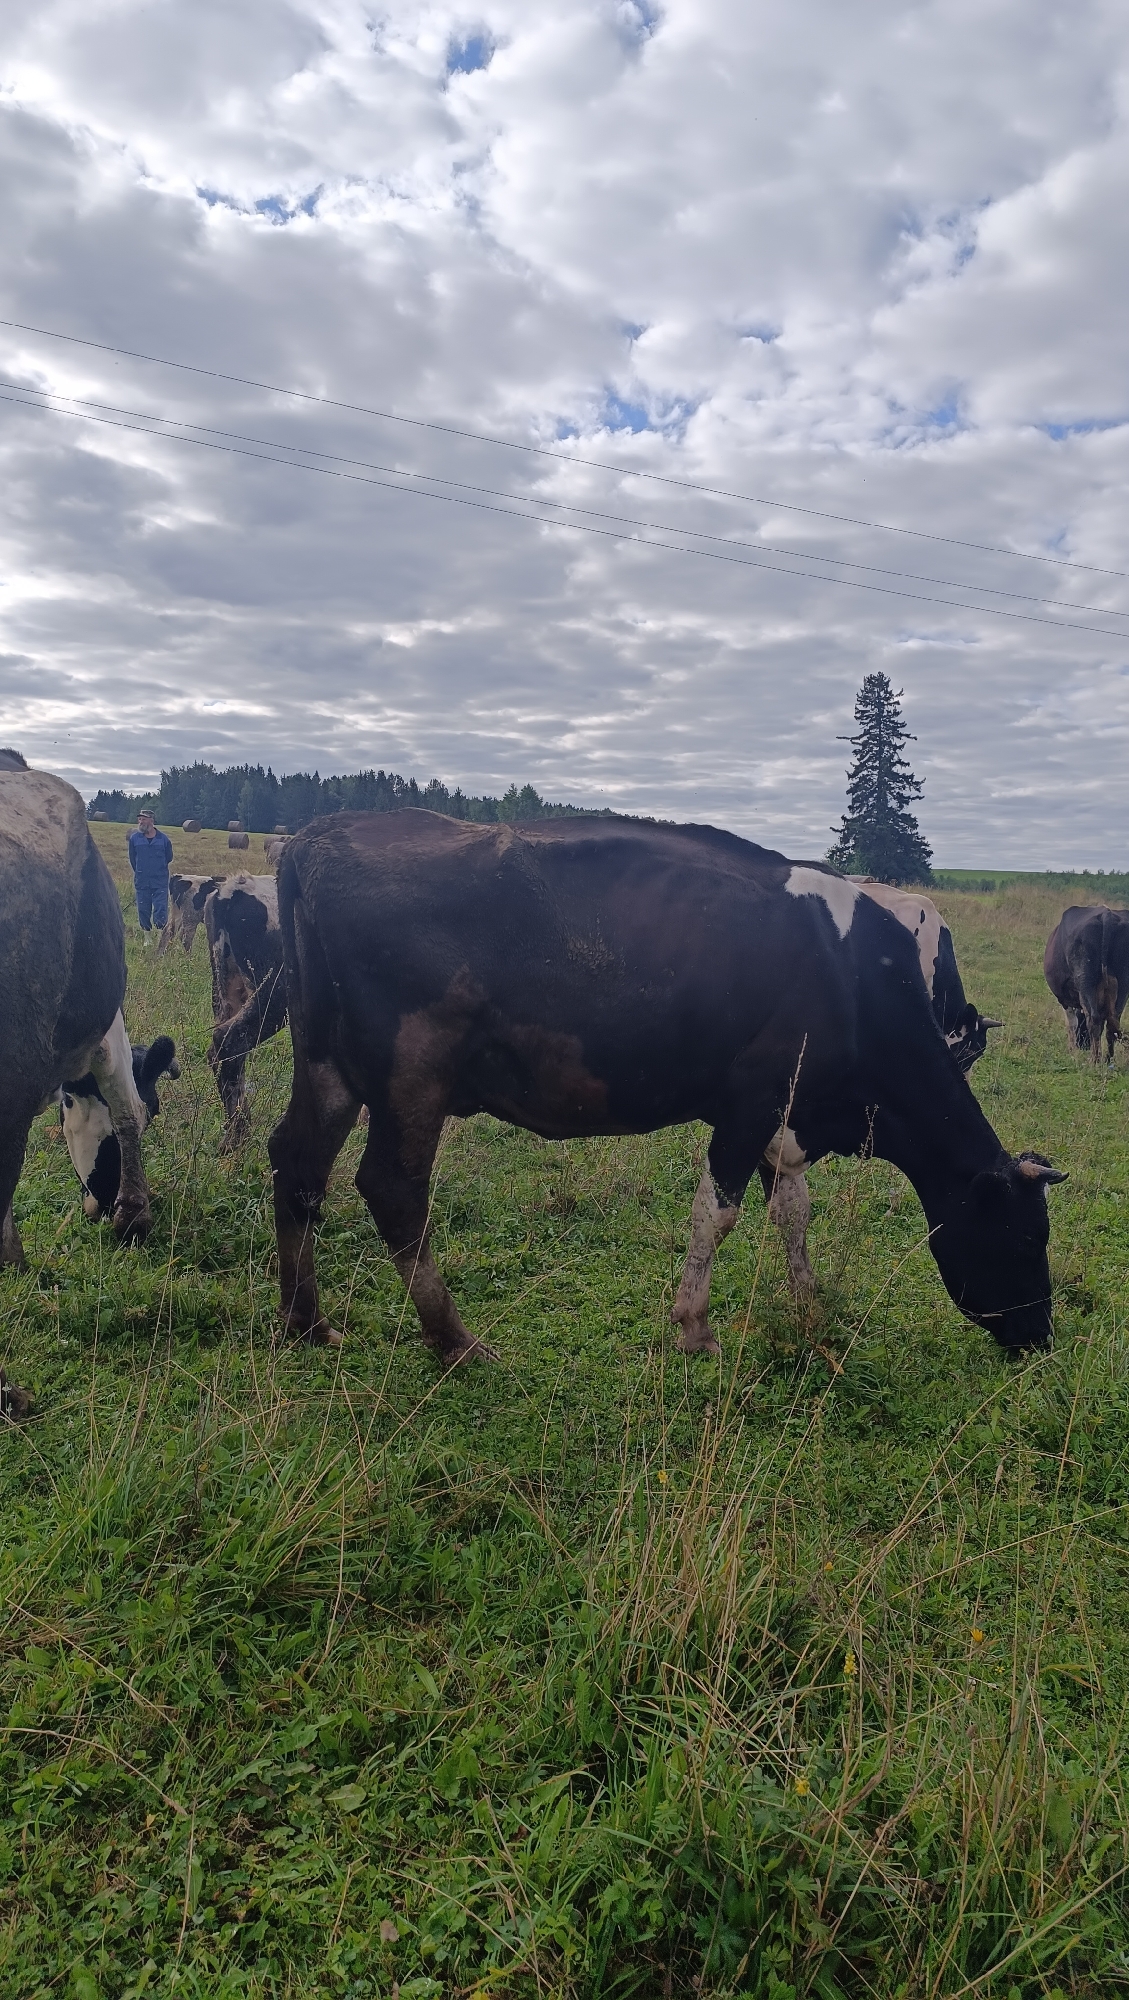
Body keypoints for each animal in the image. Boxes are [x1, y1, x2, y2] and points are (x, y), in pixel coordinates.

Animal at [264, 811, 1065, 1368]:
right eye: (1029, 1237)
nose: (1040, 1337)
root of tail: (319, 836)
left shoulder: (787, 1118)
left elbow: (792, 1213)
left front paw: (808, 1303)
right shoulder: (750, 1102)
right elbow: (719, 1213)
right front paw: (695, 1327)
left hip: (327, 1062)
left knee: (297, 1163)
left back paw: (307, 1322)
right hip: (412, 1073)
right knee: (393, 1188)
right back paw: (454, 1340)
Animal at [1044, 906, 1129, 1062]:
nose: (1083, 1045)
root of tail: (1106, 914)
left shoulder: (1064, 999)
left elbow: (1071, 1023)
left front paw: (1071, 1050)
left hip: (1085, 980)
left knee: (1094, 1019)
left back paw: (1094, 1060)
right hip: (1123, 984)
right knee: (1112, 1022)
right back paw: (1108, 1060)